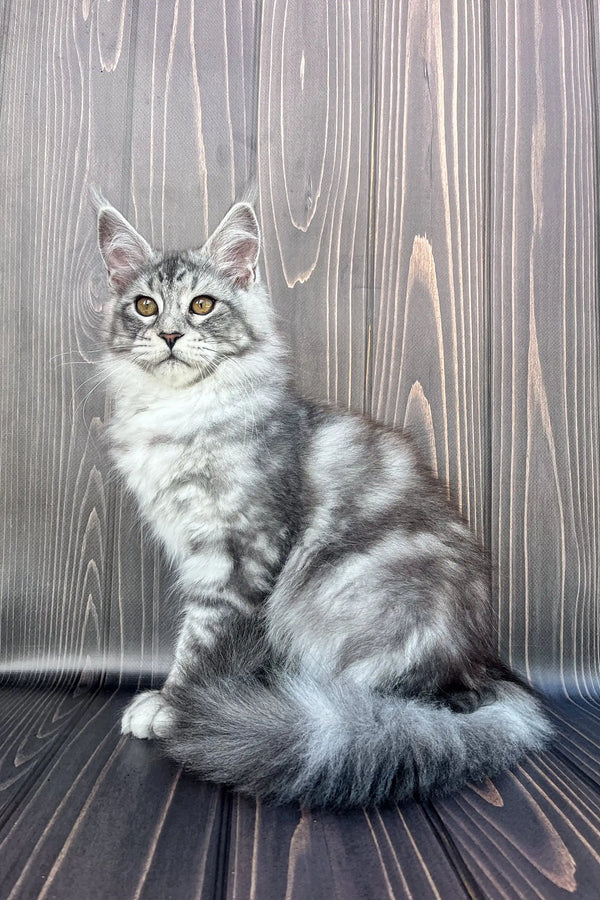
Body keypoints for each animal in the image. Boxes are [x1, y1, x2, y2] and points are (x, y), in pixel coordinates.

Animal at [95, 195, 552, 808]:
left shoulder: (239, 551)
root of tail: (482, 677)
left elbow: (202, 641)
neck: (181, 414)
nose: (168, 334)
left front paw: (174, 706)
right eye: (144, 306)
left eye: (201, 305)